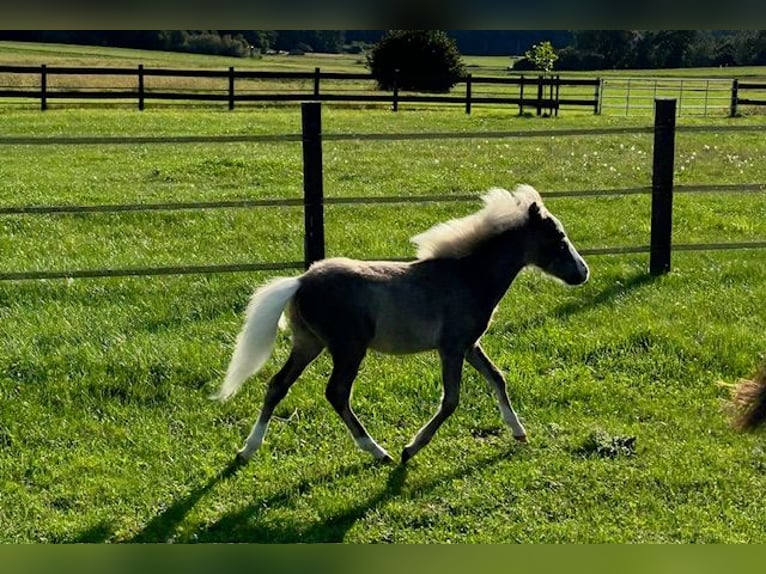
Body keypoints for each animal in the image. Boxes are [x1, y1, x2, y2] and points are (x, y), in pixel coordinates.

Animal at [213, 187, 592, 466]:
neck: (468, 277)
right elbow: (451, 400)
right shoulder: (451, 347)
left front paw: (518, 431)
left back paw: (247, 450)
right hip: (348, 348)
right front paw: (411, 448)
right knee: (336, 393)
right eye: (559, 239)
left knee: (278, 385)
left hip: (308, 343)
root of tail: (301, 280)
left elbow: (497, 378)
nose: (582, 273)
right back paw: (379, 452)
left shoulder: (469, 345)